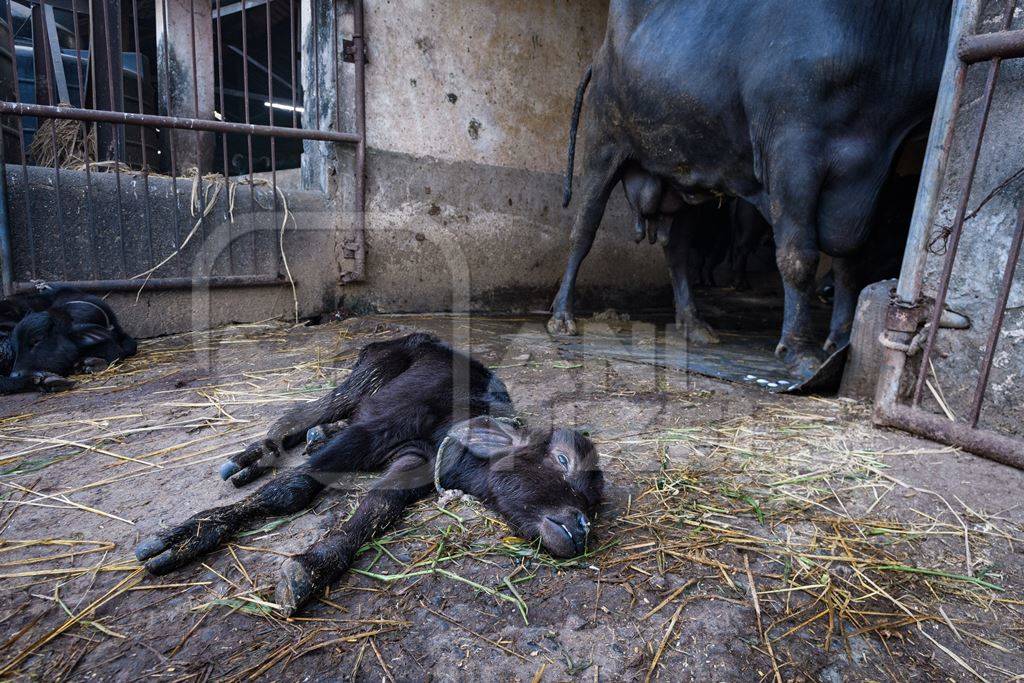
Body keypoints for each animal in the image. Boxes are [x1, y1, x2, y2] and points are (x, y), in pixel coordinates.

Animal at [135, 333, 598, 618]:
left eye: (594, 501)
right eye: (561, 460)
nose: (580, 528)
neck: (456, 417)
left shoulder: (415, 461)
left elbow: (376, 507)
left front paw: (311, 567)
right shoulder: (375, 429)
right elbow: (292, 488)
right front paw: (188, 537)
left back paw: (314, 438)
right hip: (366, 377)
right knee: (296, 417)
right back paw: (254, 459)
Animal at [552, 0, 950, 378]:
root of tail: (601, 55)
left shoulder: (869, 174)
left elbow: (851, 259)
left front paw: (839, 341)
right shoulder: (792, 151)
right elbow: (797, 256)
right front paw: (799, 352)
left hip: (684, 174)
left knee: (677, 250)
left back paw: (693, 323)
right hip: (602, 146)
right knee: (583, 231)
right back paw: (561, 315)